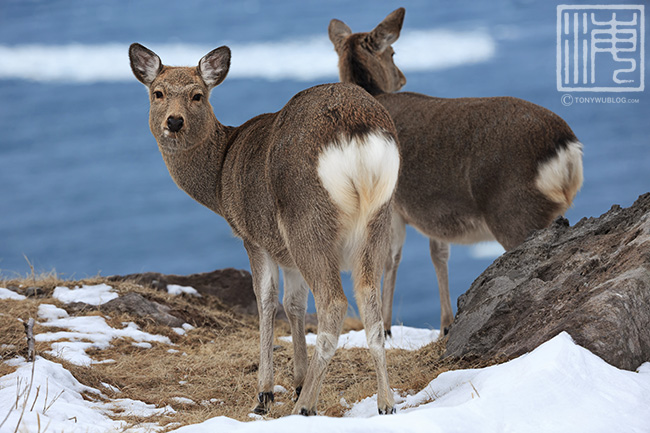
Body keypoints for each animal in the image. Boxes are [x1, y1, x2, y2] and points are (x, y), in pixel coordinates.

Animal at [128, 43, 400, 416]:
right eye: (158, 93)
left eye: (198, 95)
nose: (174, 121)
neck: (220, 179)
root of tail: (355, 131)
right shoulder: (285, 253)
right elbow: (294, 304)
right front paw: (296, 381)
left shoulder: (253, 236)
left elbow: (267, 300)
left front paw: (265, 393)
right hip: (378, 220)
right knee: (370, 305)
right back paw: (386, 403)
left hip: (307, 220)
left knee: (333, 304)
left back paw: (305, 407)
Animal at [330, 8, 584, 336]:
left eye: (393, 51)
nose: (402, 78)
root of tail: (566, 148)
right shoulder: (434, 215)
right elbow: (438, 255)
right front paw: (445, 325)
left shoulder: (392, 203)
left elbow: (389, 258)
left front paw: (385, 327)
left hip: (516, 213)